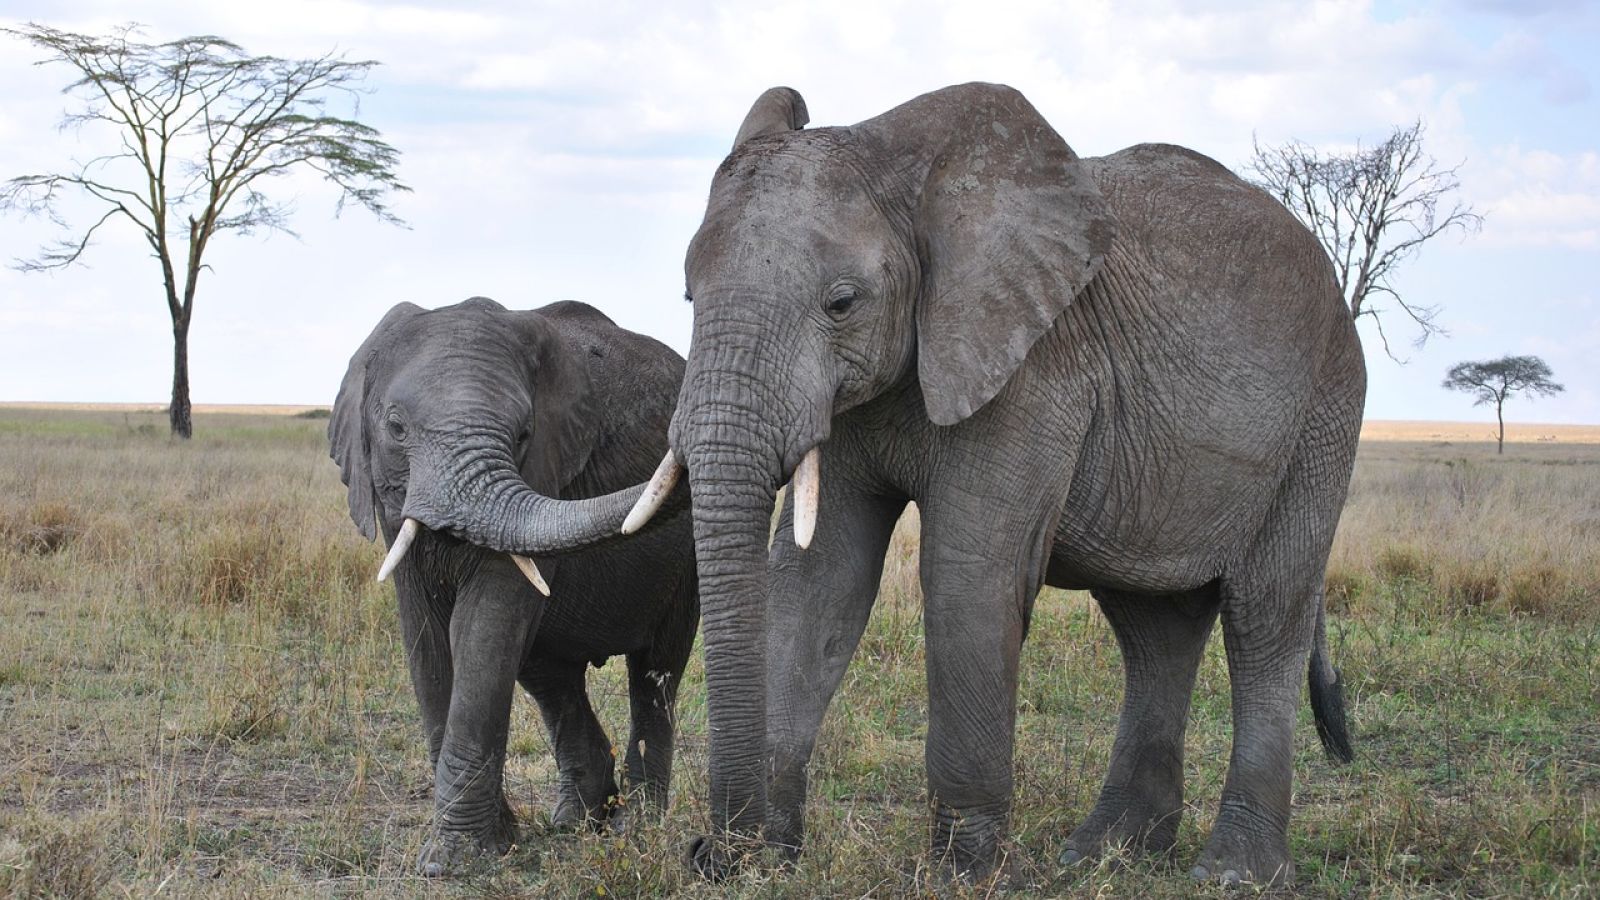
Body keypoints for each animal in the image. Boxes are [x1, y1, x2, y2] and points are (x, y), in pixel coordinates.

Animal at [328, 297, 699, 875]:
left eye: (523, 435)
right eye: (395, 427)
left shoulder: (545, 473)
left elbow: (484, 626)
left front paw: (456, 863)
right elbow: (426, 638)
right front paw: (491, 846)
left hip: (685, 565)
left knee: (655, 671)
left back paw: (633, 830)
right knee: (551, 675)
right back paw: (575, 821)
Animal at [617, 83, 1364, 885]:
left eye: (842, 303)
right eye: (688, 297)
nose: (710, 853)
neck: (907, 172)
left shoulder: (1033, 366)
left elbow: (965, 577)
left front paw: (964, 875)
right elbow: (820, 578)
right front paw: (768, 861)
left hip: (1323, 410)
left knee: (1265, 613)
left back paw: (1231, 873)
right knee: (1153, 627)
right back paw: (1107, 854)